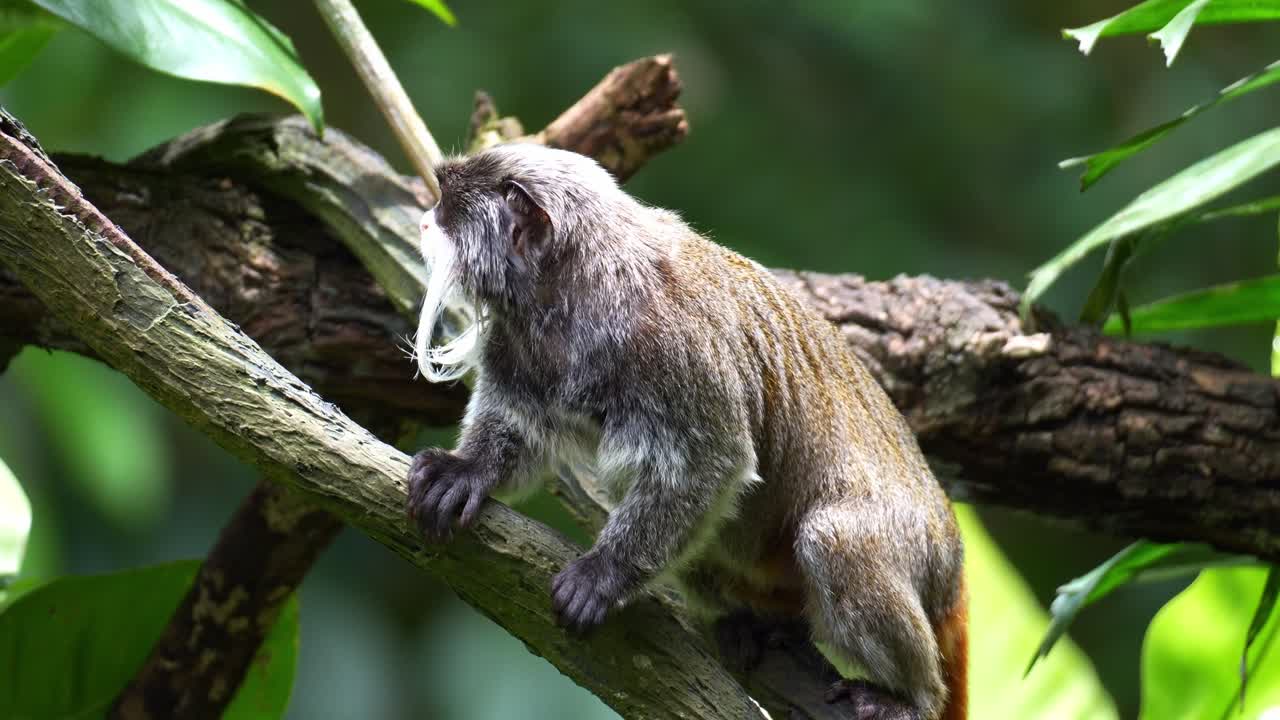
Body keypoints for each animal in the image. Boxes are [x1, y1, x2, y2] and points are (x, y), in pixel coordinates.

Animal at [406, 143, 967, 720]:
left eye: (446, 206)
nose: (424, 219)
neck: (573, 294)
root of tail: (951, 567)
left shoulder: (678, 345)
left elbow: (714, 464)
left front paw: (603, 574)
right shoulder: (517, 342)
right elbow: (517, 427)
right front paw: (466, 472)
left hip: (920, 548)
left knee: (833, 537)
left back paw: (912, 697)